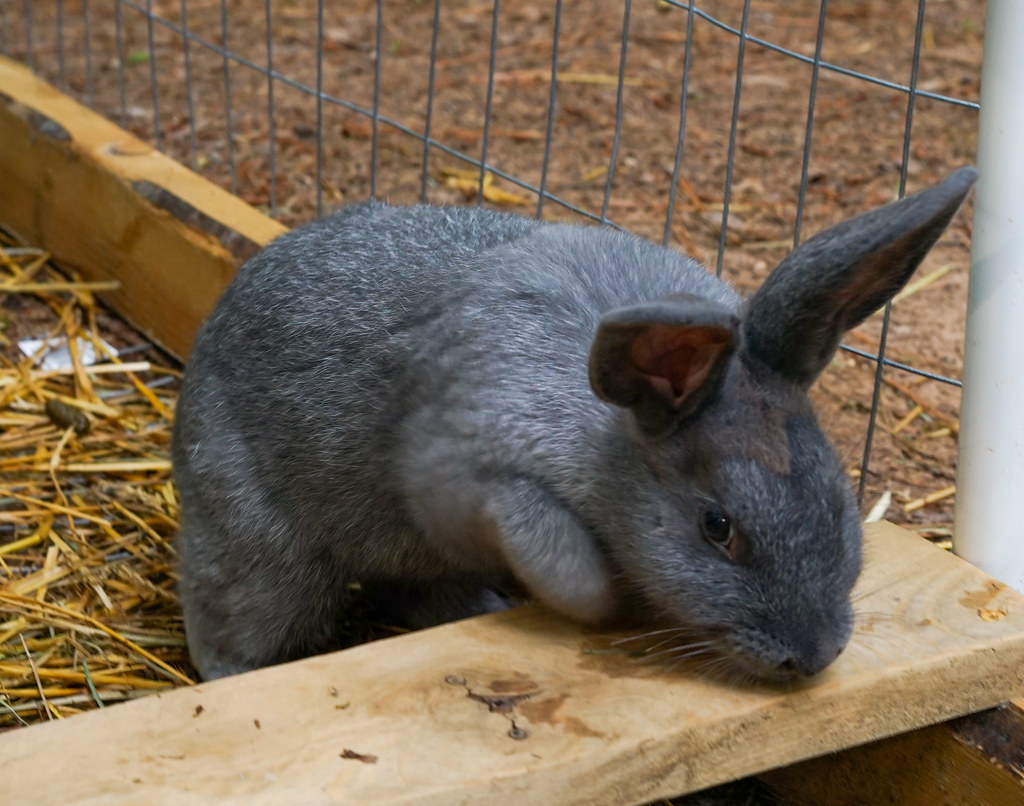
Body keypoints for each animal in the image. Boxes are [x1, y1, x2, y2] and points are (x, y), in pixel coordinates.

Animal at [173, 167, 976, 682]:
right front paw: (609, 604)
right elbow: (567, 561)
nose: (812, 657)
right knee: (238, 618)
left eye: (837, 501)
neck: (610, 433)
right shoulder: (492, 484)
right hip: (258, 548)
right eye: (717, 528)